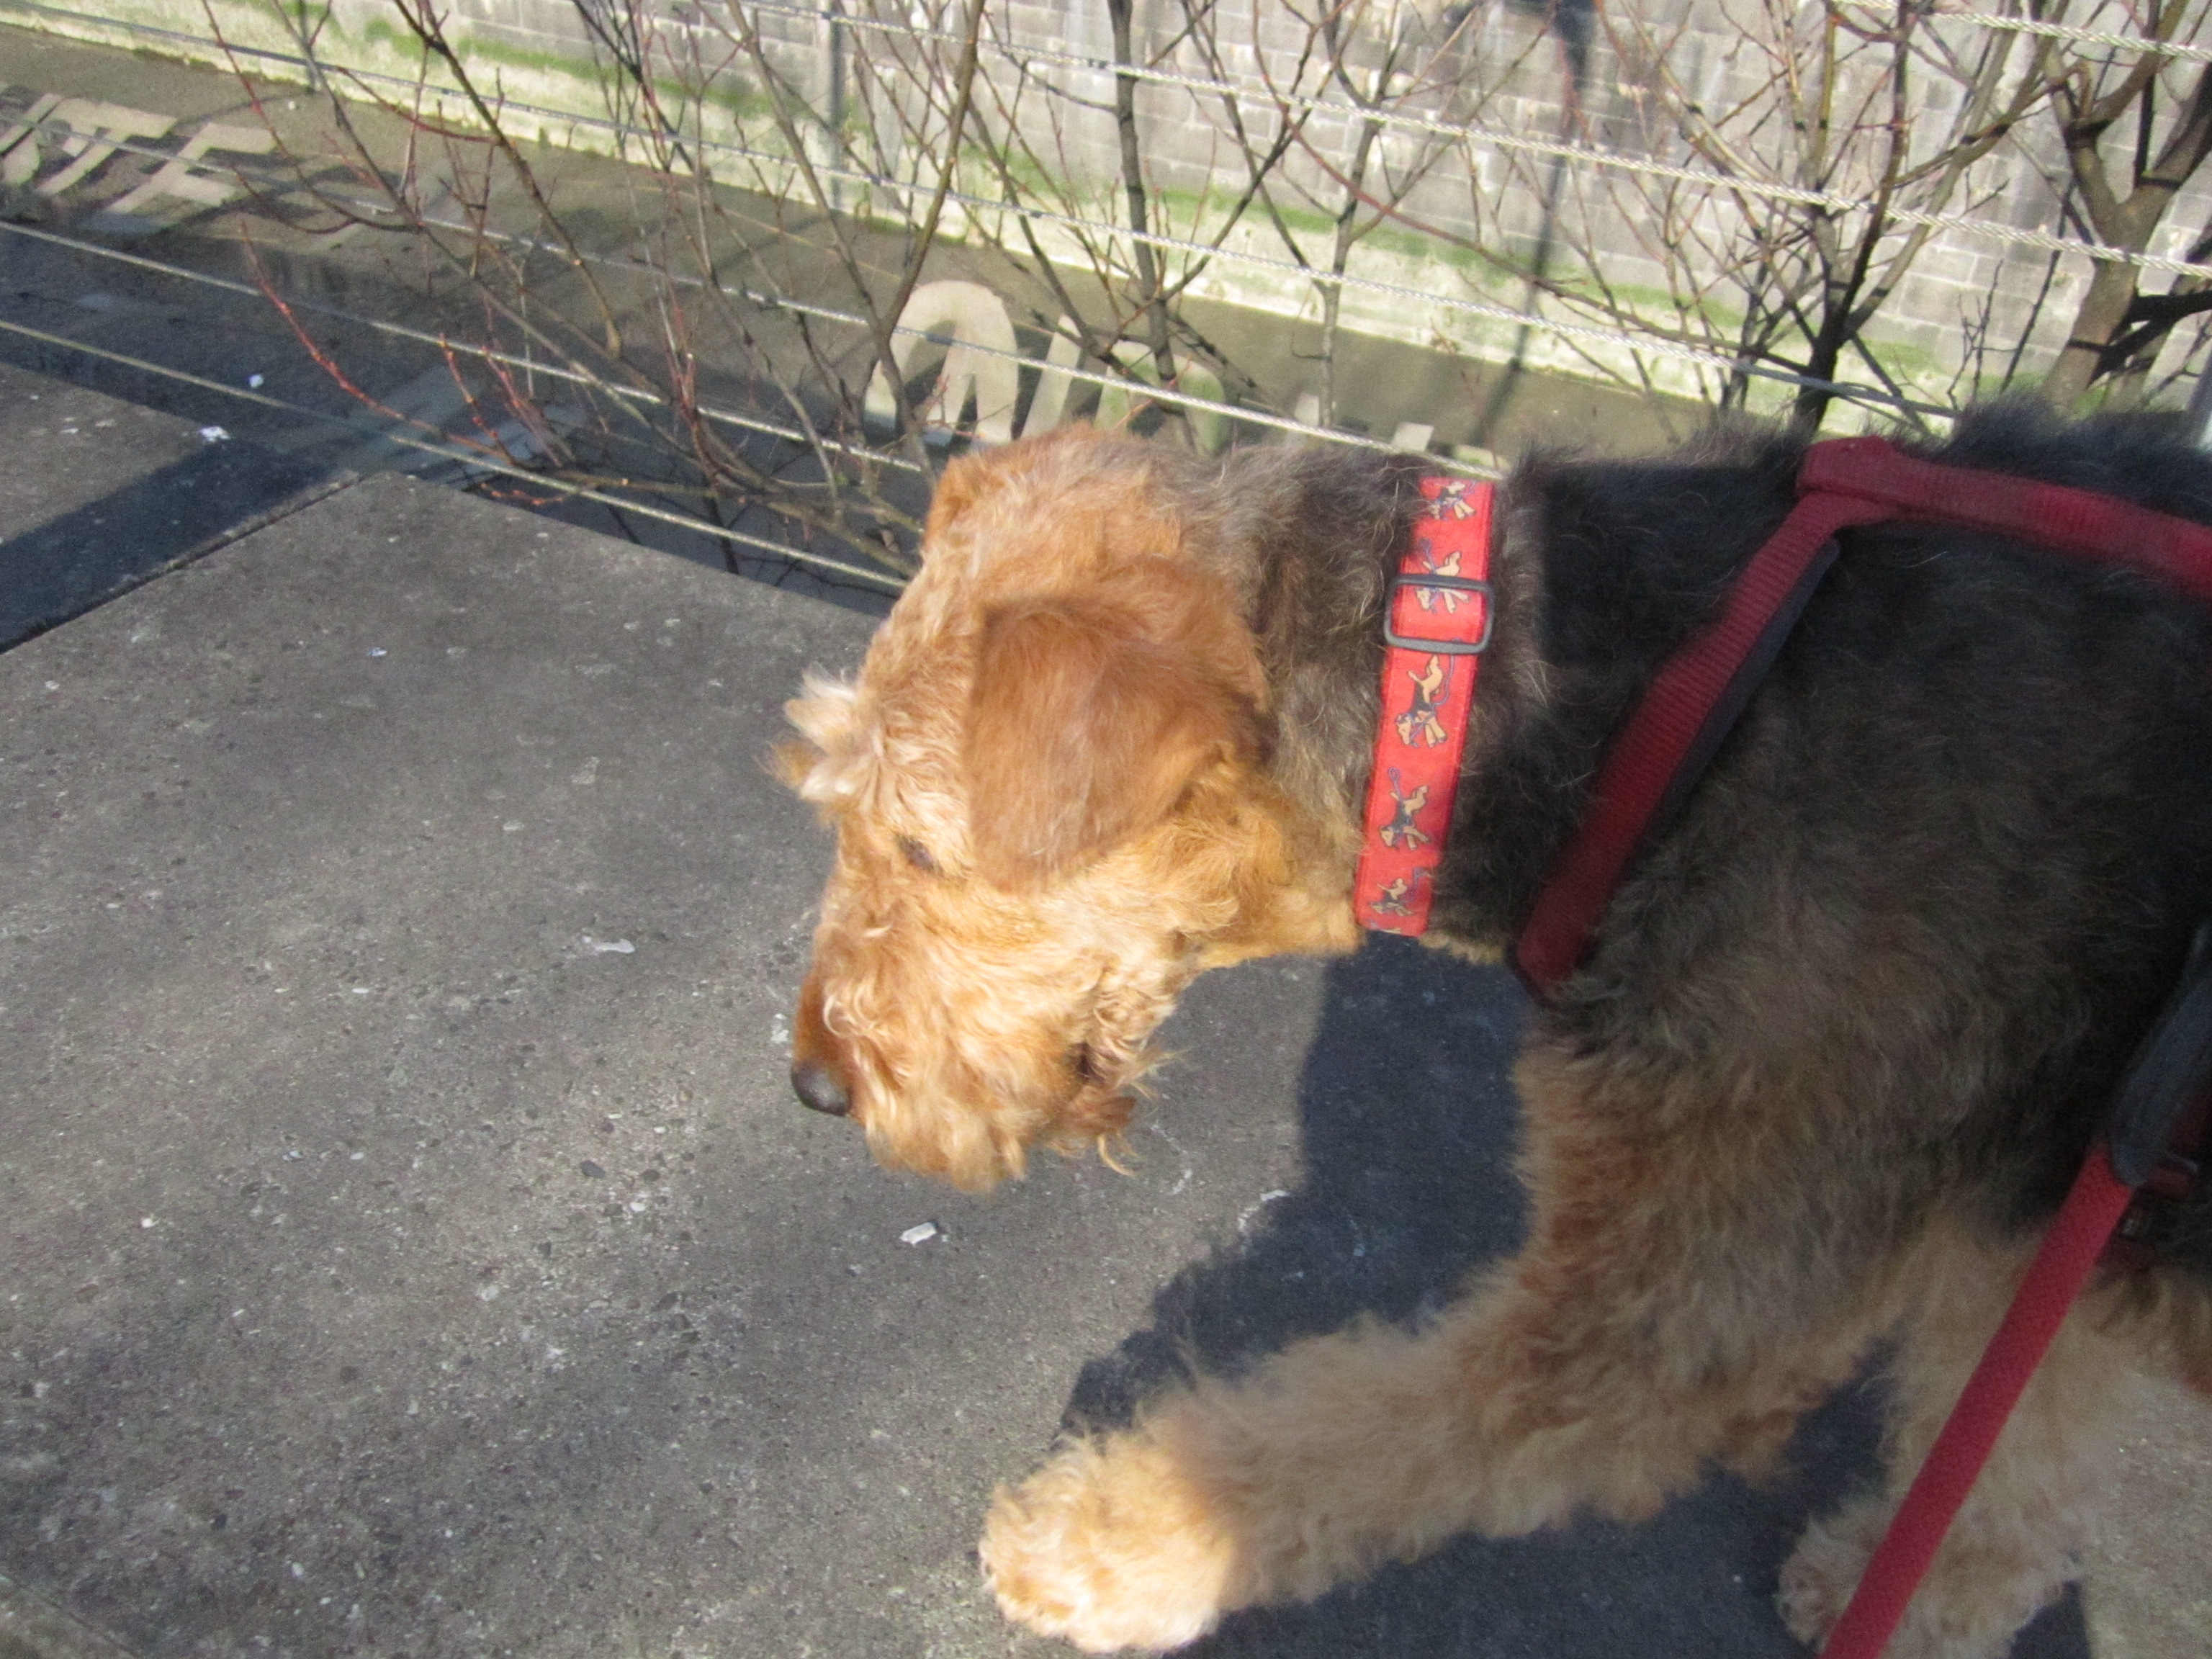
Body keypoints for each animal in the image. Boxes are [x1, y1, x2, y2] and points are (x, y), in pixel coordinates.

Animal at [776, 410, 2212, 1656]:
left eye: (921, 845)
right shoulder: (2031, 1234)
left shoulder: (1658, 1305)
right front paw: (1914, 1596)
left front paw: (1086, 1547)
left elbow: (1356, 1431)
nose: (816, 1084)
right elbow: (2010, 1457)